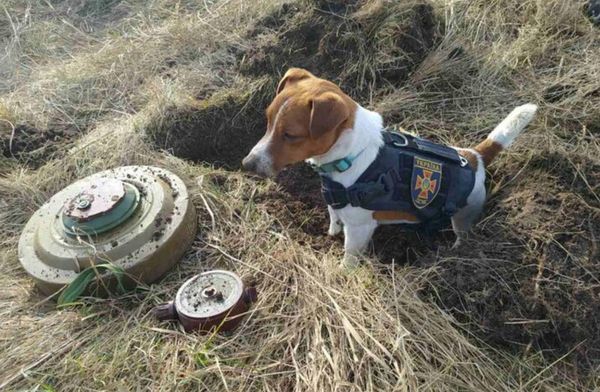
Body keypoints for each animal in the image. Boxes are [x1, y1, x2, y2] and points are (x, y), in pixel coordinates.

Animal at [241, 69, 536, 268]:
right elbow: (334, 218)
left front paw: (343, 271)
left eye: (291, 135)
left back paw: (455, 251)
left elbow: (349, 255)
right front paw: (330, 233)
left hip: (464, 216)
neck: (351, 154)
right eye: (267, 120)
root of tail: (474, 156)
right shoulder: (335, 203)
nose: (247, 164)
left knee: (462, 235)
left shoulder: (359, 229)